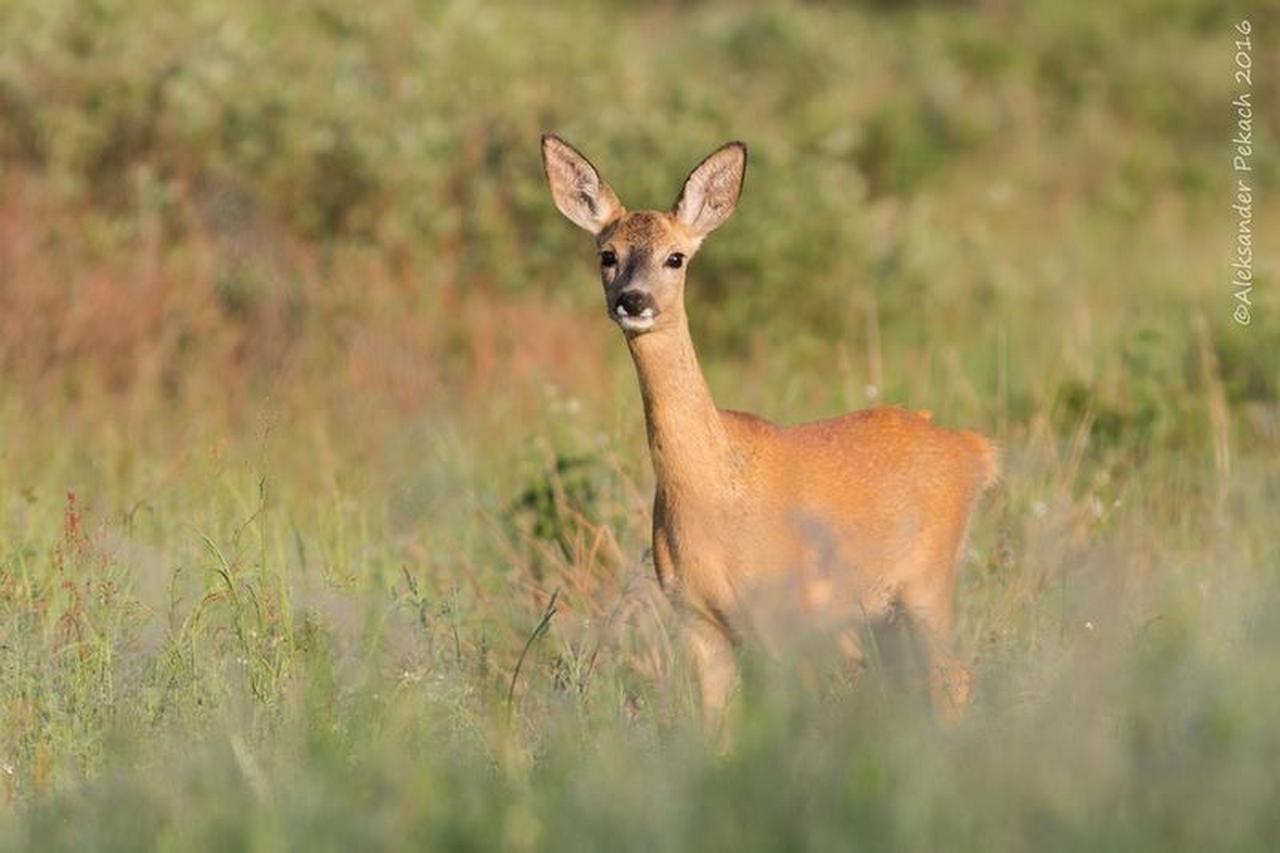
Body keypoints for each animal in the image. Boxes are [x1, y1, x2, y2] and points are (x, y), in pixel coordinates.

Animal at [540, 133, 998, 722]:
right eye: (607, 254)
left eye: (675, 257)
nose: (633, 300)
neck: (713, 488)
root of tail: (975, 451)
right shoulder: (698, 621)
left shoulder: (784, 616)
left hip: (928, 579)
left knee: (955, 677)